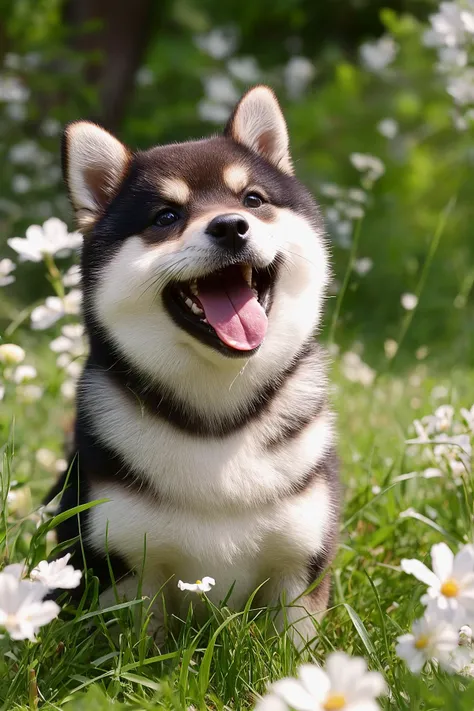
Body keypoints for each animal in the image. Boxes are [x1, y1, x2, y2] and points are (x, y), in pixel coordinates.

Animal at [51, 85, 340, 644]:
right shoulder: (125, 563)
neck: (218, 420)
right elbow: (135, 650)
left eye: (252, 200)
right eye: (165, 216)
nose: (230, 226)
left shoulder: (302, 559)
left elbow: (296, 649)